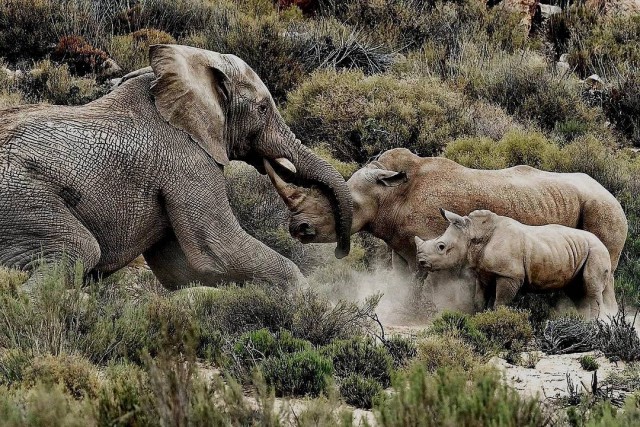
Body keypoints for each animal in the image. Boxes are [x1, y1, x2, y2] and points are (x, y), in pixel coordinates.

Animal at [0, 44, 352, 290]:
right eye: (263, 109)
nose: (303, 230)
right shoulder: (188, 163)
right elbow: (219, 251)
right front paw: (305, 298)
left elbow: (183, 269)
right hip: (20, 196)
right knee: (77, 249)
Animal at [416, 209, 616, 320]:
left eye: (441, 247)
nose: (421, 262)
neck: (473, 233)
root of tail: (603, 243)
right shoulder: (483, 272)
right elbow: (479, 300)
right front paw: (479, 319)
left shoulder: (510, 275)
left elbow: (500, 302)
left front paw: (498, 320)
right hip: (580, 251)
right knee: (577, 291)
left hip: (596, 251)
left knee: (591, 287)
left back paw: (595, 324)